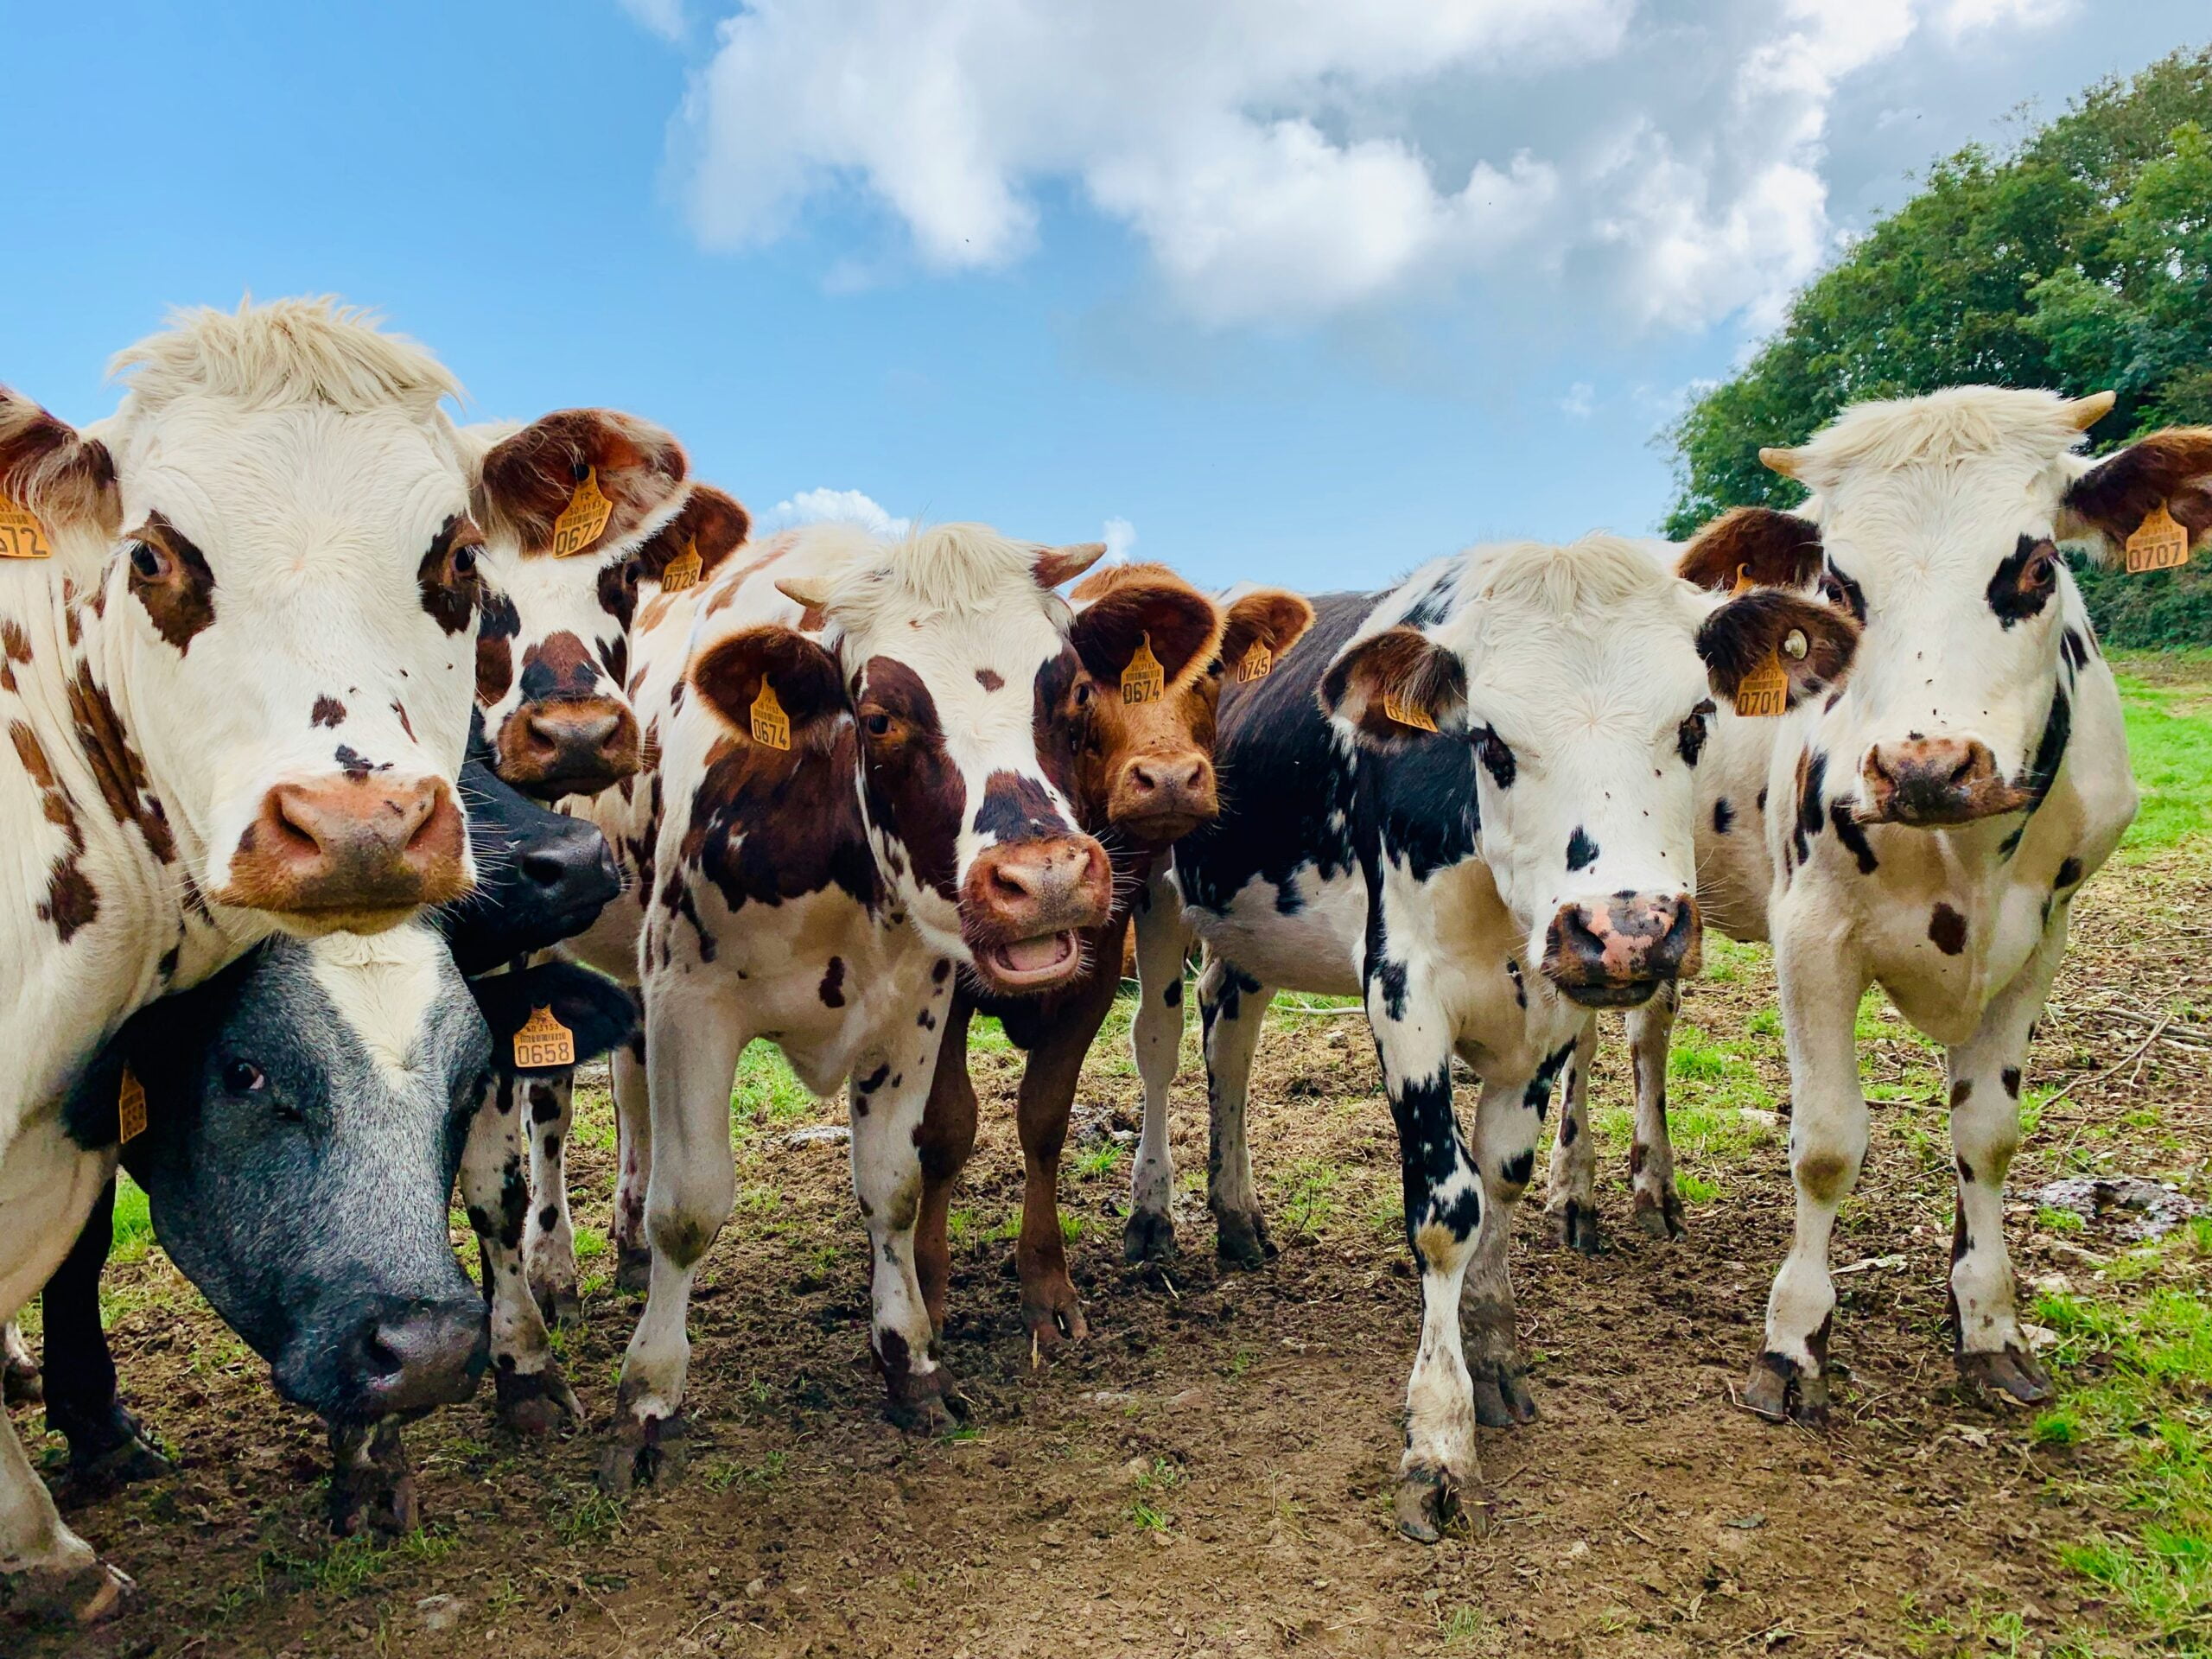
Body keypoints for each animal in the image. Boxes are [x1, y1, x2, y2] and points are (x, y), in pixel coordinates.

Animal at [570, 519, 1115, 1495]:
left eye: (1075, 692)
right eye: (881, 716)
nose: (1046, 879)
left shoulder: (915, 1010)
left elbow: (893, 1190)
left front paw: (911, 1363)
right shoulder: (689, 1003)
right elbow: (690, 1208)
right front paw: (646, 1402)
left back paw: (624, 1239)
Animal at [915, 570, 1309, 1353]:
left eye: (1212, 673)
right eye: (1083, 688)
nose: (1170, 778)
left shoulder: (1100, 967)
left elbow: (1045, 1118)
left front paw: (1047, 1288)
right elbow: (947, 1125)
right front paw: (929, 1294)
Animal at [1123, 539, 1849, 1539]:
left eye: (1696, 723)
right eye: (1490, 741)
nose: (1627, 928)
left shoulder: (1550, 1013)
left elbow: (1500, 1176)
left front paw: (1495, 1350)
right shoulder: (1402, 993)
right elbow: (1446, 1209)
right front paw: (1438, 1435)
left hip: (1248, 930)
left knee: (1228, 1033)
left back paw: (1236, 1215)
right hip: (1152, 888)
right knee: (1156, 1043)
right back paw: (1153, 1216)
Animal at [1610, 389, 2158, 1433]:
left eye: (2037, 565)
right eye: (1837, 583)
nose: (1924, 766)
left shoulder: (2042, 940)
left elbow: (1987, 1135)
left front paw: (1986, 1322)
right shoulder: (1811, 934)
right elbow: (1825, 1145)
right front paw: (1793, 1343)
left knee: (1648, 1030)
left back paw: (1652, 1184)